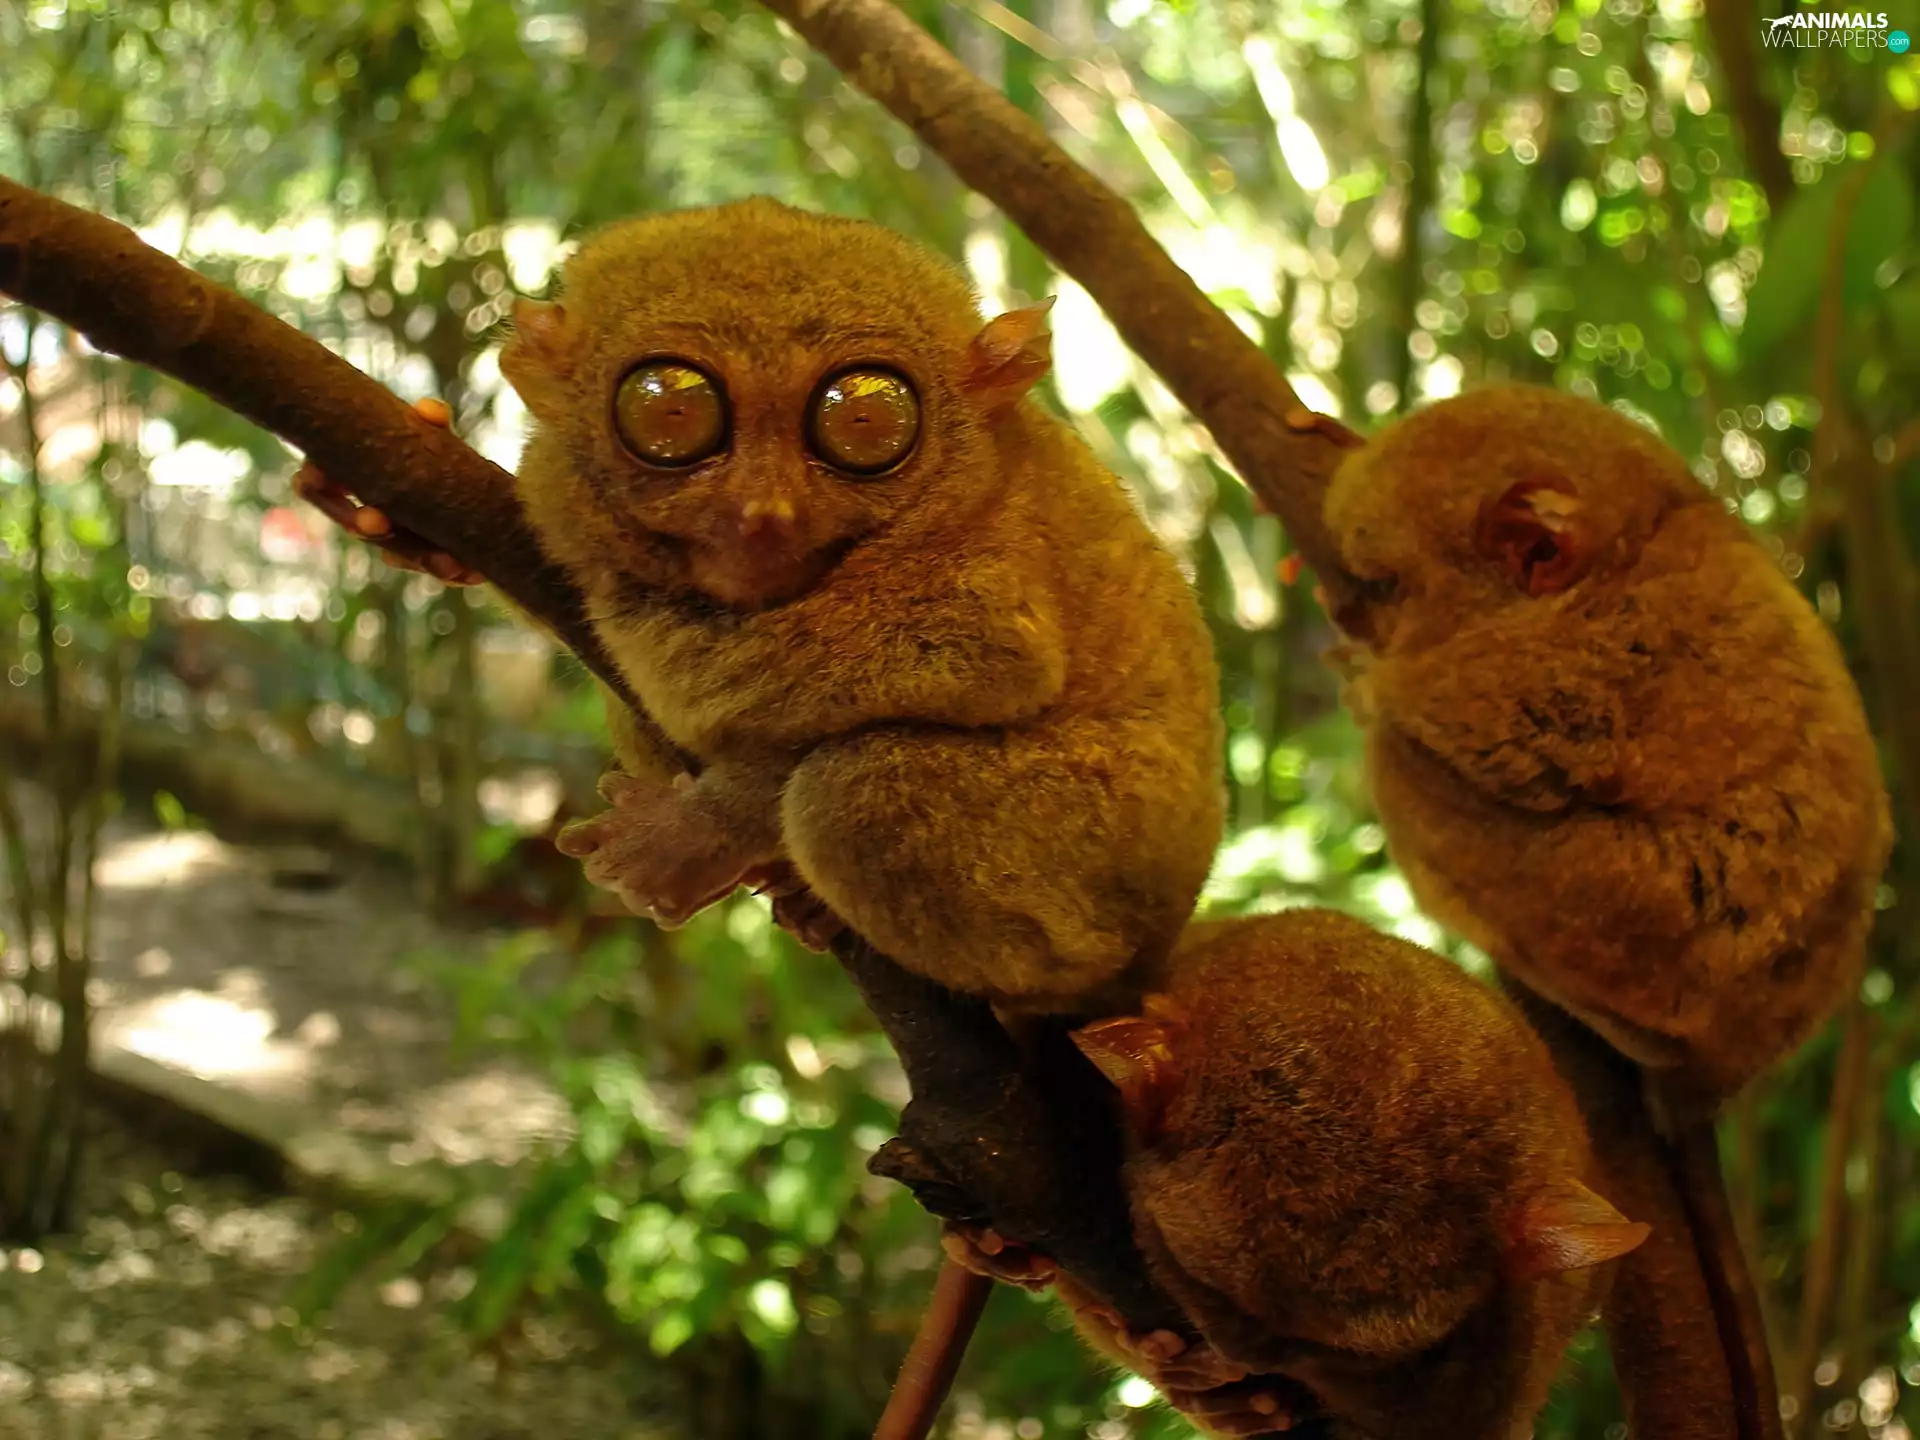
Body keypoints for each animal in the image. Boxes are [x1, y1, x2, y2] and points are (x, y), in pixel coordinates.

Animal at [297, 197, 1225, 1014]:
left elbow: (981, 654)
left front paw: (707, 824)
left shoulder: (993, 571)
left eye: (865, 421)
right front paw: (409, 518)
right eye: (670, 409)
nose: (762, 512)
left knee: (850, 793)